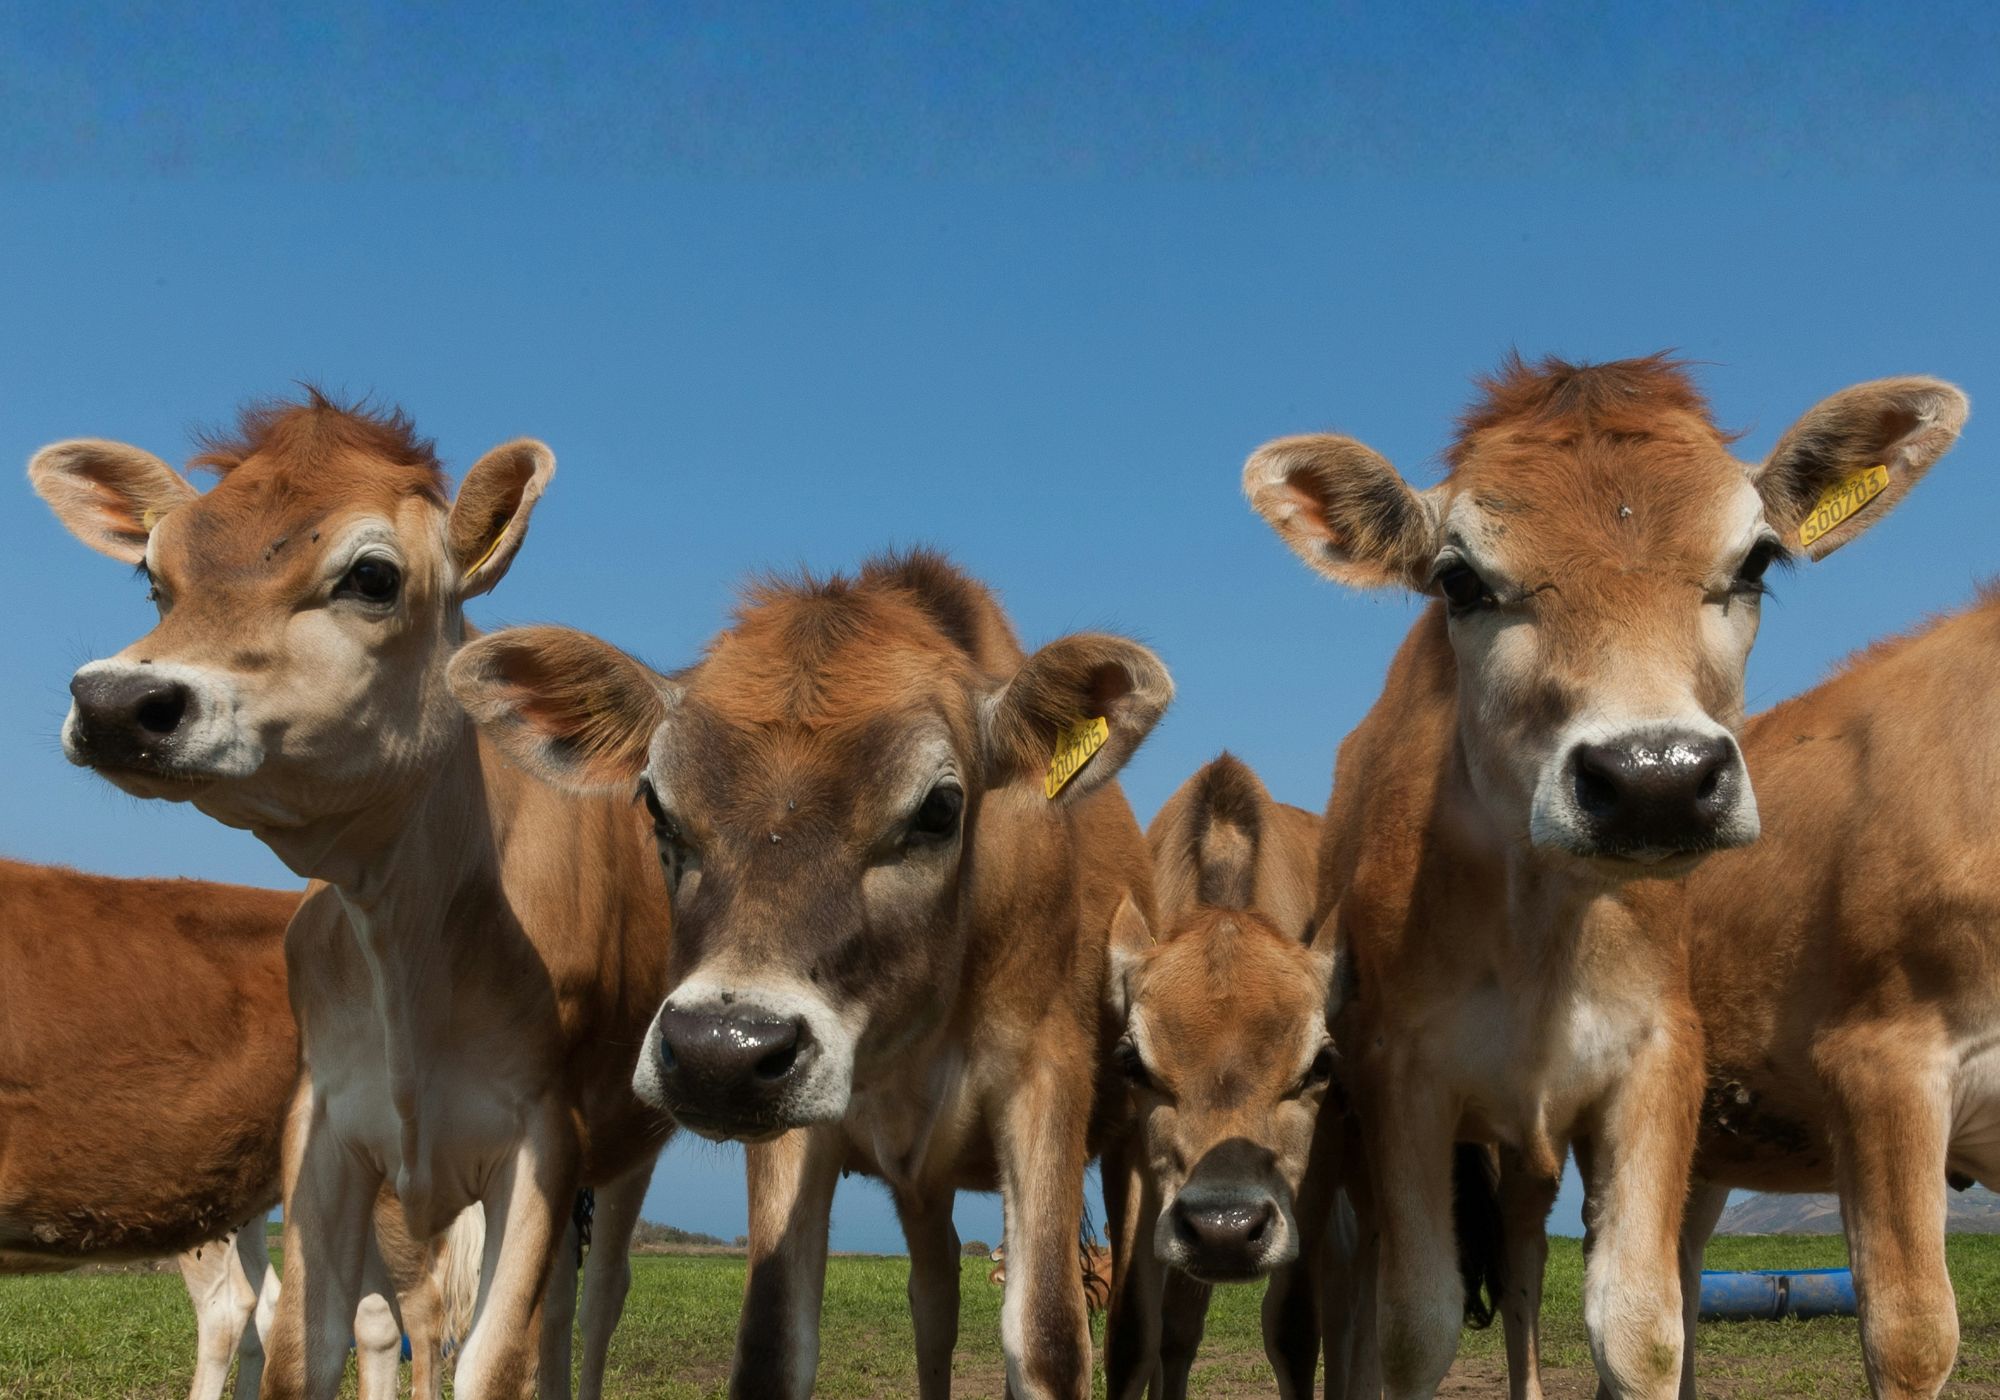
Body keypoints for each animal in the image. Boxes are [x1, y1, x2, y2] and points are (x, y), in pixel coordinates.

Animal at [31, 393, 674, 1398]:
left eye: (372, 576)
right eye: (153, 575)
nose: (113, 703)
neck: (408, 931)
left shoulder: (541, 1142)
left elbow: (492, 1361)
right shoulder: (327, 1128)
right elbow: (307, 1346)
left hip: (634, 1148)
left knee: (598, 1301)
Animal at [444, 549, 1171, 1399]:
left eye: (940, 808)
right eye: (654, 804)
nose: (717, 1051)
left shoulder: (1044, 1073)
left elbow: (1049, 1337)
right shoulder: (786, 1125)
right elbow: (770, 1345)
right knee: (935, 1296)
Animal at [1101, 752, 1365, 1400]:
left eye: (1321, 1063)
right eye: (1130, 1061)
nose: (1224, 1228)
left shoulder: (1317, 1166)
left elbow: (1294, 1331)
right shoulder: (1128, 1160)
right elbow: (1134, 1334)